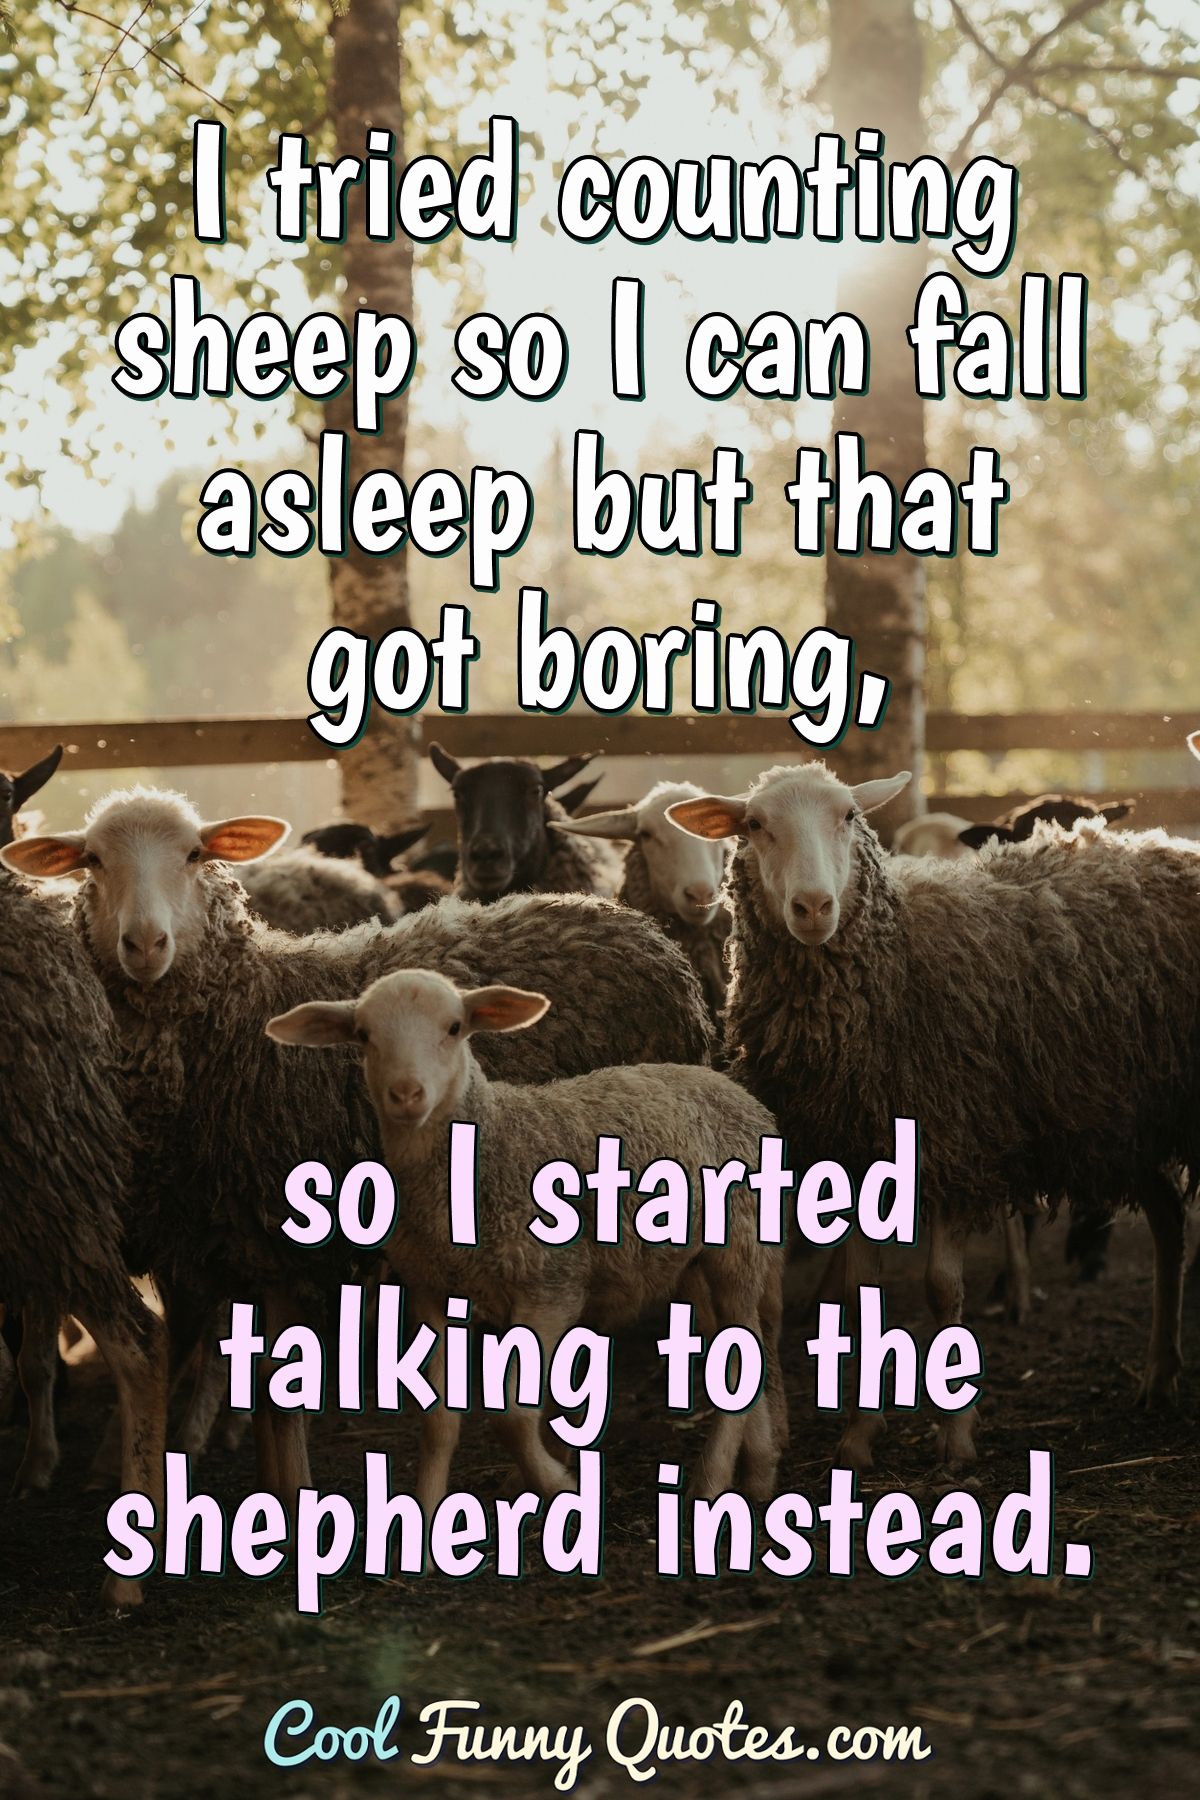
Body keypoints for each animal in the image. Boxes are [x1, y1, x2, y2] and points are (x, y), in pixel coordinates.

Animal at [2, 788, 713, 1503]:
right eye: (93, 860)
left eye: (195, 853)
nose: (145, 943)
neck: (241, 1021)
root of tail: (624, 921)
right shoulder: (228, 1236)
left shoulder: (287, 1241)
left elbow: (275, 1393)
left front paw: (291, 1492)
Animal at [267, 968, 786, 1509]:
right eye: (364, 1035)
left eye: (454, 1027)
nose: (406, 1094)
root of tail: (726, 1082)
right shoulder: (432, 1291)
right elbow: (438, 1424)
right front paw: (427, 1515)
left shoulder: (550, 1289)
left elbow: (513, 1417)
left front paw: (559, 1483)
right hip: (689, 1264)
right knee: (740, 1350)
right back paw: (759, 1471)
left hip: (739, 1246)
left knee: (742, 1354)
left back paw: (711, 1480)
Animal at [670, 761, 1200, 1471]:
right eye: (754, 825)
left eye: (848, 815)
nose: (813, 908)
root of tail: (1166, 844)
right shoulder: (852, 1151)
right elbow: (858, 1294)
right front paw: (859, 1436)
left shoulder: (951, 1134)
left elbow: (943, 1288)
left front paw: (956, 1438)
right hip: (1121, 1118)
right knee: (1169, 1219)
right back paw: (1159, 1375)